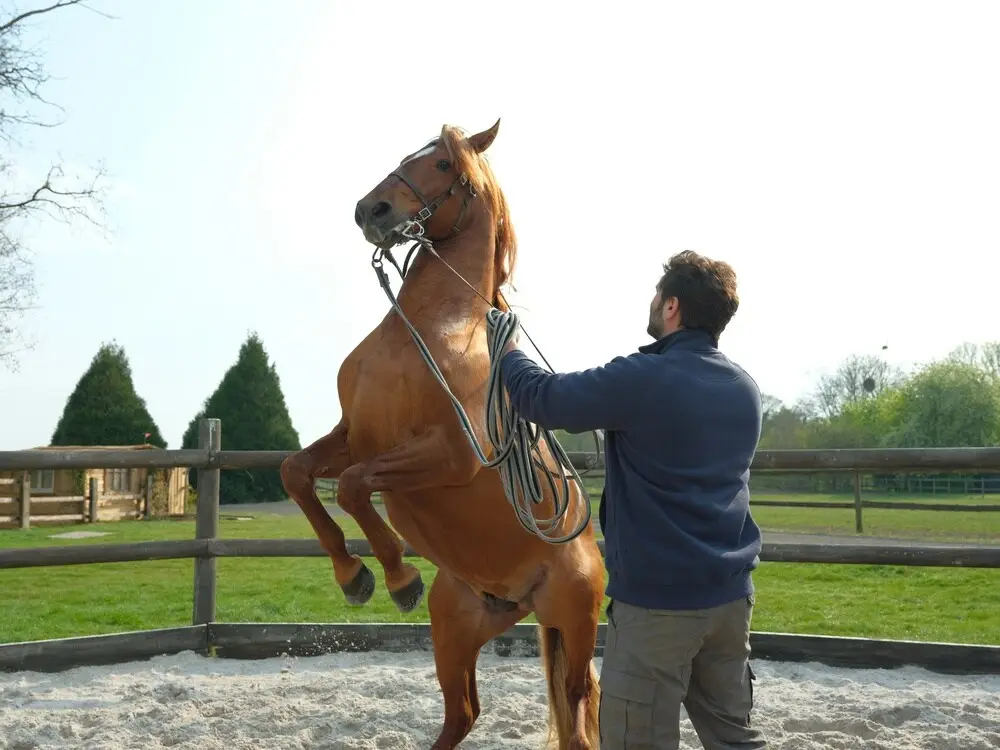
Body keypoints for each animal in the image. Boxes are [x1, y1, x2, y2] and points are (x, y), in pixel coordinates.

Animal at [280, 120, 600, 748]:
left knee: (576, 711)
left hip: (575, 625)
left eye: (444, 165)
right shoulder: (355, 436)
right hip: (454, 628)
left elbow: (354, 487)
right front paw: (353, 576)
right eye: (409, 154)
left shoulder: (449, 454)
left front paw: (397, 577)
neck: (436, 330)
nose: (371, 209)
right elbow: (299, 473)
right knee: (463, 714)